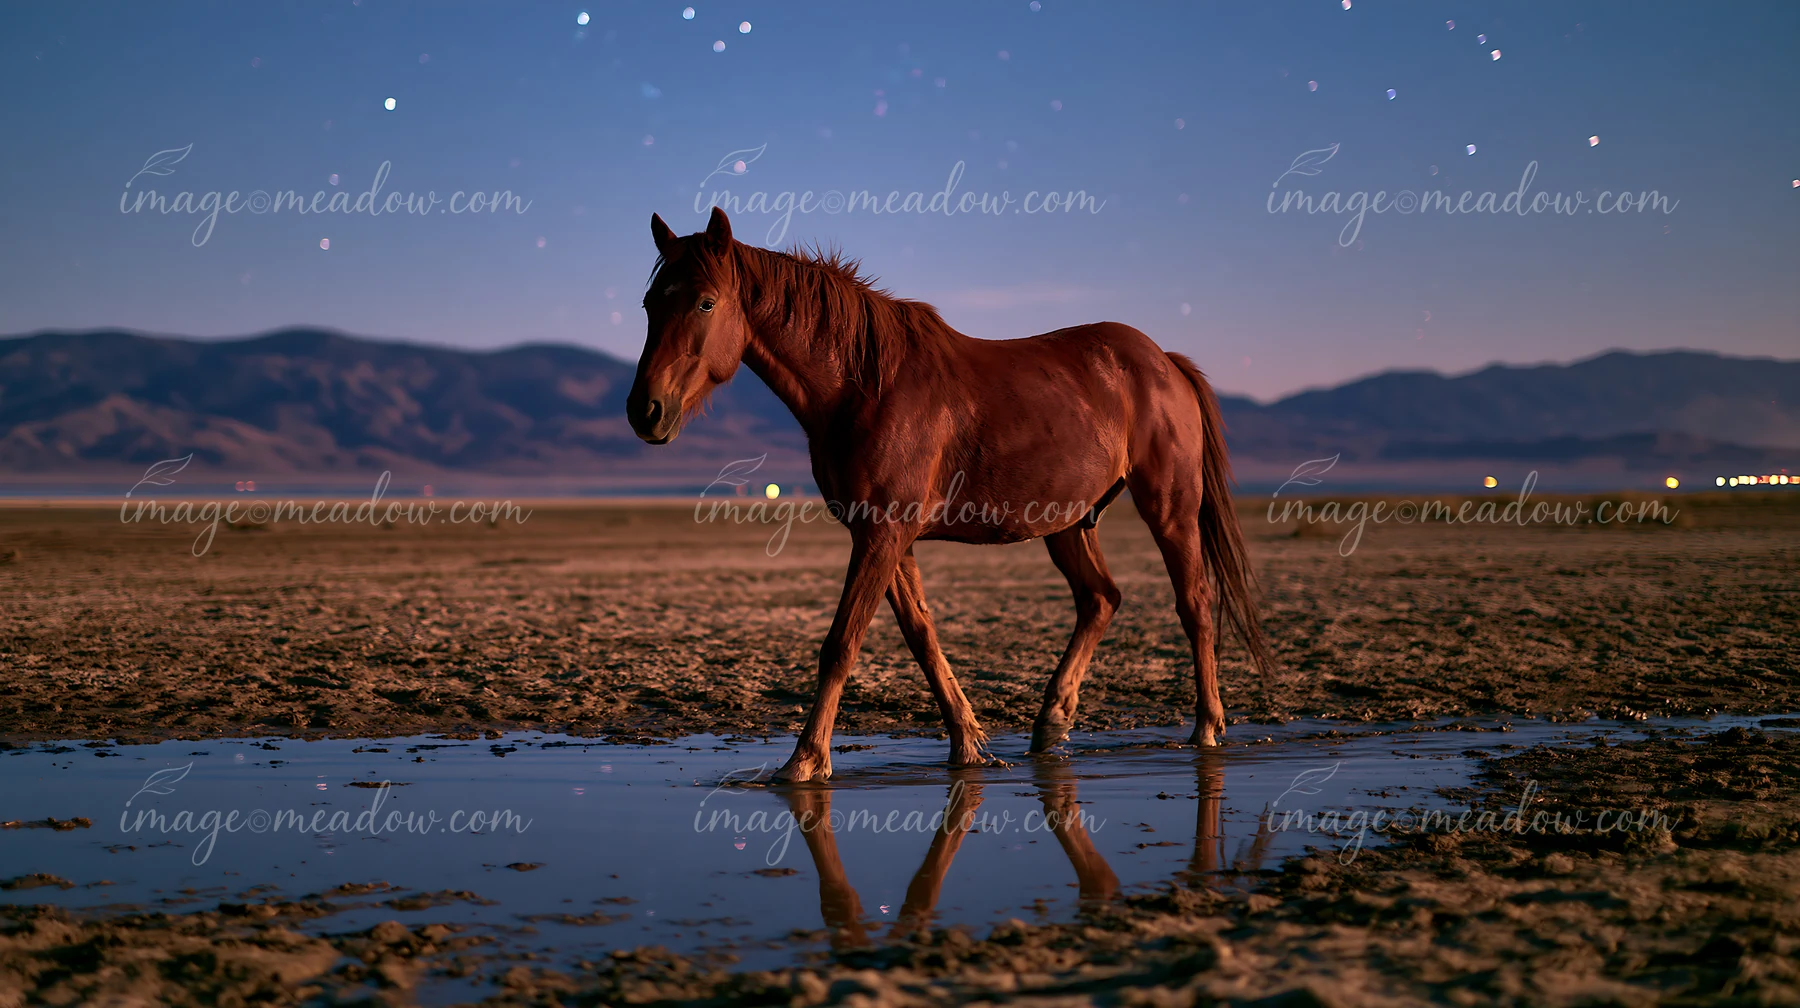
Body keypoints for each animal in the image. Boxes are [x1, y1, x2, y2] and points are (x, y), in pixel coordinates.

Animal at [627, 208, 1273, 782]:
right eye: (650, 303)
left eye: (705, 302)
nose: (645, 411)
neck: (865, 386)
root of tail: (1165, 362)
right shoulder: (884, 536)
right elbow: (921, 635)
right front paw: (969, 746)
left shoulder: (883, 534)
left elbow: (841, 644)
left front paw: (805, 762)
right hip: (1067, 522)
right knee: (1101, 599)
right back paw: (1051, 723)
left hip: (1169, 510)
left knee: (1194, 606)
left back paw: (1207, 729)